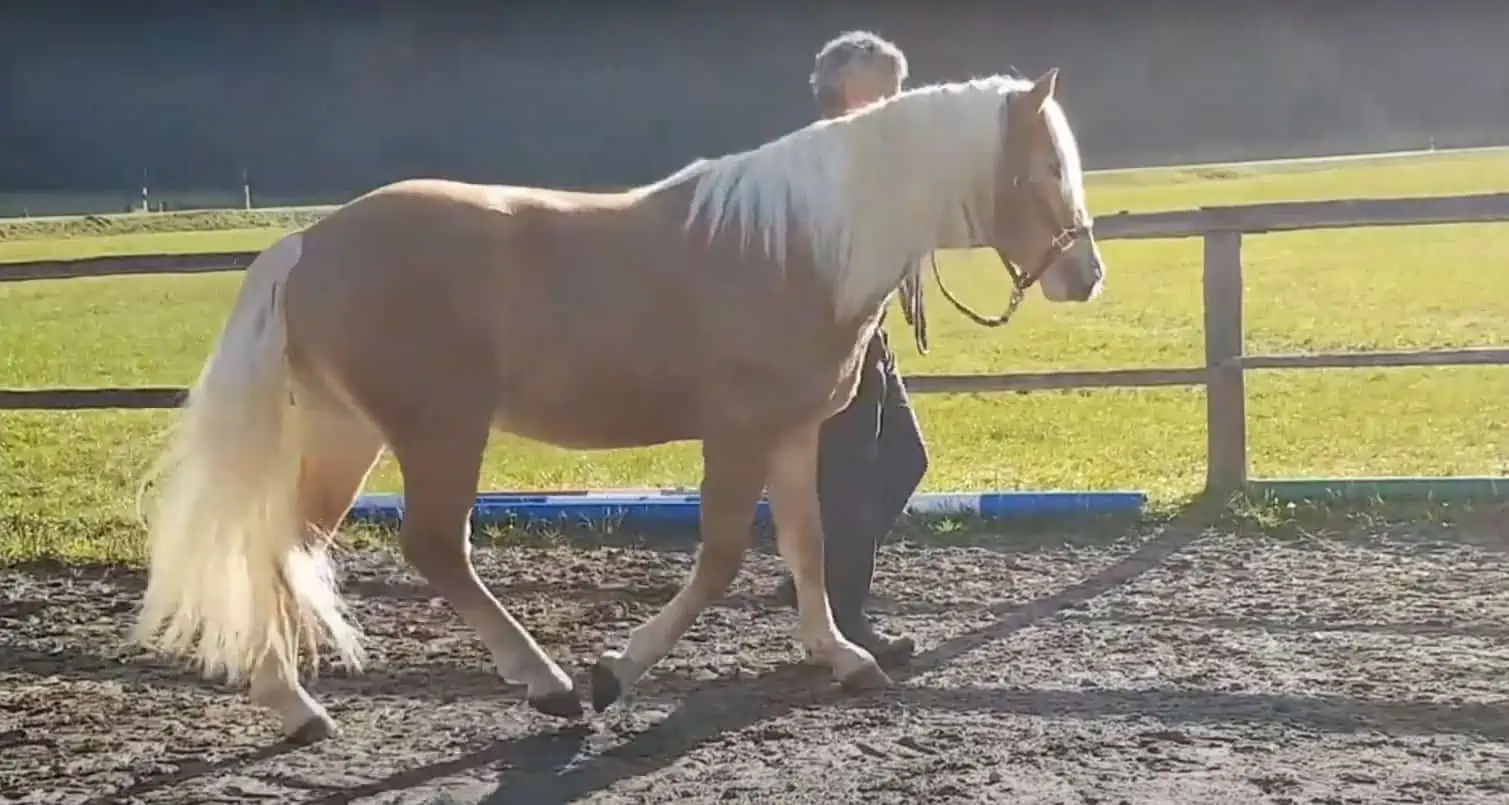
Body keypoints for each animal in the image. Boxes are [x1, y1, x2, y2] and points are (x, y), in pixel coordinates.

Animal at [129, 67, 1104, 740]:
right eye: (1043, 167)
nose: (1085, 274)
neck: (797, 245)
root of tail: (307, 243)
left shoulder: (790, 433)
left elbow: (807, 545)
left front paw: (845, 656)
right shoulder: (737, 433)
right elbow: (719, 559)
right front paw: (614, 671)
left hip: (349, 432)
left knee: (286, 544)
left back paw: (293, 702)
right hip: (439, 431)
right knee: (433, 546)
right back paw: (549, 684)